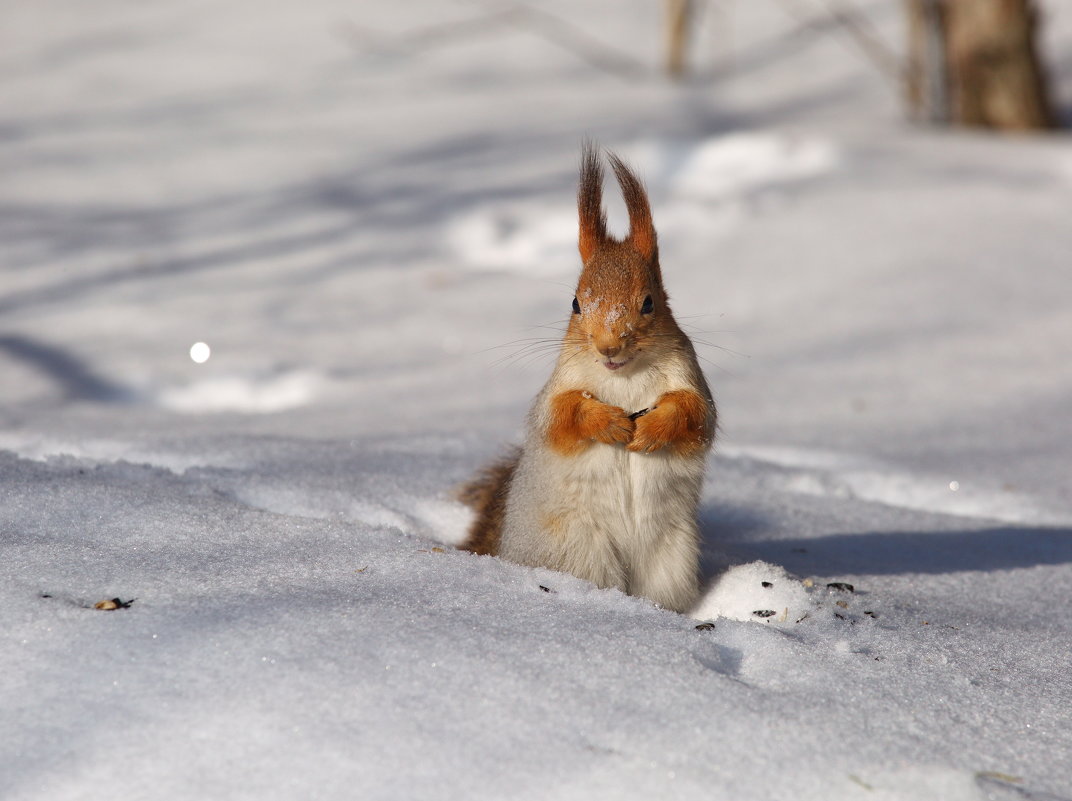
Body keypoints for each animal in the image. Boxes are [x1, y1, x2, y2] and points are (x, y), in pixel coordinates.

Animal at [458, 142, 716, 613]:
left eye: (649, 302)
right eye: (576, 304)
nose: (607, 347)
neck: (625, 376)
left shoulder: (691, 380)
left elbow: (696, 417)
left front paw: (652, 429)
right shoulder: (558, 389)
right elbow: (561, 417)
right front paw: (608, 423)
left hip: (669, 561)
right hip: (578, 551)